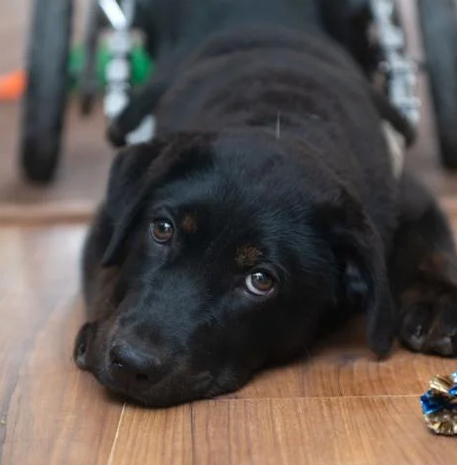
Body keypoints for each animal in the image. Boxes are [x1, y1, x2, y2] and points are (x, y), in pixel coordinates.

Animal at [74, 0, 456, 406]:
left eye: (260, 281)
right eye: (162, 230)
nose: (131, 363)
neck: (280, 117)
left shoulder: (410, 196)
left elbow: (428, 246)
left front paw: (439, 304)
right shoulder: (107, 218)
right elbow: (109, 268)